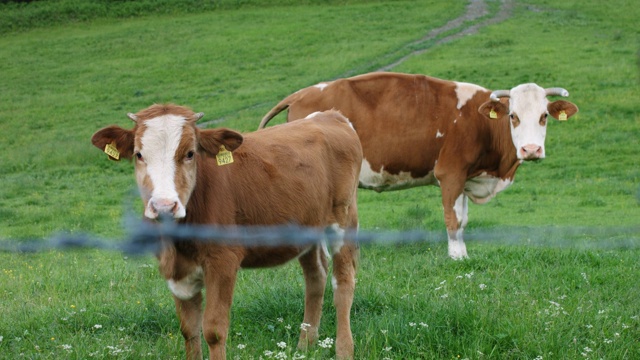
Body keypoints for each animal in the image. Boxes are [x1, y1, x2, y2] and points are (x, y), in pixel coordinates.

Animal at [90, 105, 362, 360]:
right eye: (139, 154)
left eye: (190, 153)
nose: (164, 206)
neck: (180, 243)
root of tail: (330, 115)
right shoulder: (176, 270)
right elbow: (189, 329)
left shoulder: (223, 260)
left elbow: (213, 329)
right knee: (316, 276)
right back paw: (305, 346)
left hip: (344, 217)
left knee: (343, 283)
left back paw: (344, 349)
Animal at [258, 71, 576, 260]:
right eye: (513, 115)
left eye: (544, 116)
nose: (531, 149)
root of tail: (300, 94)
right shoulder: (450, 173)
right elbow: (452, 219)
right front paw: (456, 257)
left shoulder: (465, 177)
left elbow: (463, 219)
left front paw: (462, 252)